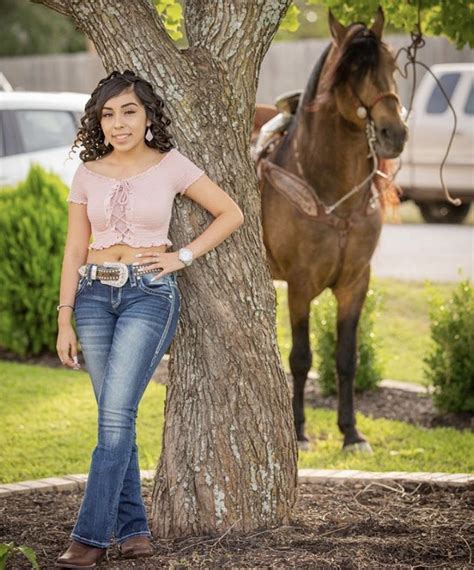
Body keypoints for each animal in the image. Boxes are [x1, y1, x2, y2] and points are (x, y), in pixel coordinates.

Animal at [256, 8, 408, 450]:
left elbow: (346, 357)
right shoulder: (300, 284)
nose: (394, 133)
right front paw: (299, 429)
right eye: (350, 72)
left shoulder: (356, 283)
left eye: (392, 65)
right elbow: (301, 358)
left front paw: (351, 432)